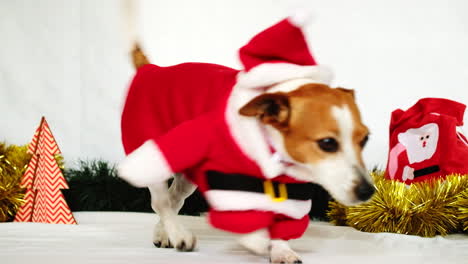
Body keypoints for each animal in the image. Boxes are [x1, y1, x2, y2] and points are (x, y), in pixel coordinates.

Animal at [119, 13, 374, 262]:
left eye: (365, 140)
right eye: (327, 143)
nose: (368, 191)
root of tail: (151, 69)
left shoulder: (293, 191)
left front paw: (281, 249)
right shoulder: (225, 182)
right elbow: (246, 225)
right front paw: (259, 240)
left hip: (187, 174)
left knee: (173, 200)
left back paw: (164, 233)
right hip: (152, 154)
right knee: (161, 201)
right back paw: (179, 233)